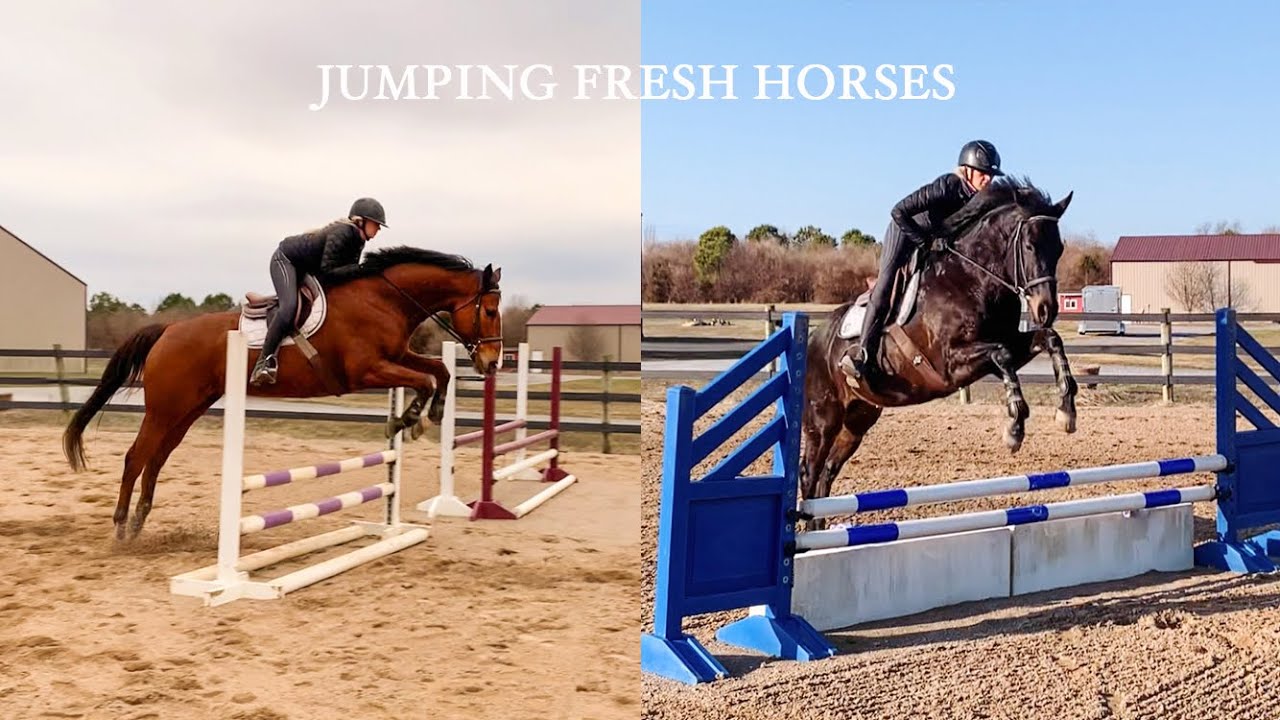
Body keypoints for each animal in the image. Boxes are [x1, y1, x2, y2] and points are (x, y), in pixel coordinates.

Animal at [62, 246, 504, 540]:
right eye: (489, 311)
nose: (492, 362)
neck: (384, 299)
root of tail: (167, 330)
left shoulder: (397, 357)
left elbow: (439, 371)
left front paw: (425, 415)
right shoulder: (366, 370)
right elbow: (425, 380)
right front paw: (409, 420)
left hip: (188, 409)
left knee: (157, 458)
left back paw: (139, 520)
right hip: (165, 409)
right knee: (136, 457)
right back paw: (121, 526)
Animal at [802, 178, 1078, 527]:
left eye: (1059, 248)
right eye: (1029, 246)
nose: (1046, 309)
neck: (973, 278)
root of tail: (814, 338)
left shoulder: (1003, 346)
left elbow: (1049, 340)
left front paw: (1066, 411)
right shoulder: (949, 365)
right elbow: (1002, 355)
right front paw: (1015, 428)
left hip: (858, 420)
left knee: (826, 475)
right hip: (823, 419)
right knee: (810, 473)